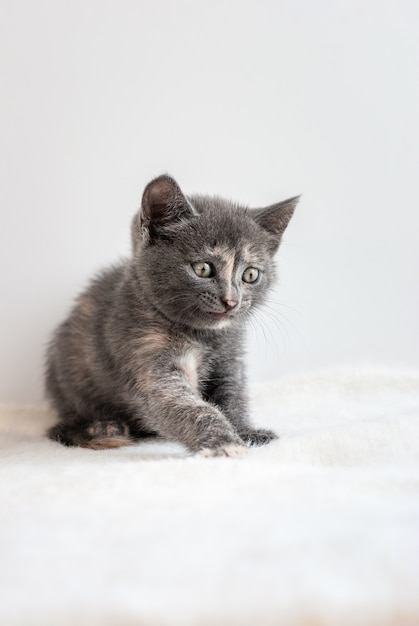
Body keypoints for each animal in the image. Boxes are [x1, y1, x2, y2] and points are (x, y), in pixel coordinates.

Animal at [46, 173, 298, 456]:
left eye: (251, 274)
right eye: (202, 268)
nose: (231, 301)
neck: (203, 335)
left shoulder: (230, 357)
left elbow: (233, 394)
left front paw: (246, 431)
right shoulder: (145, 354)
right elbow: (186, 406)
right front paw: (225, 442)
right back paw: (103, 427)